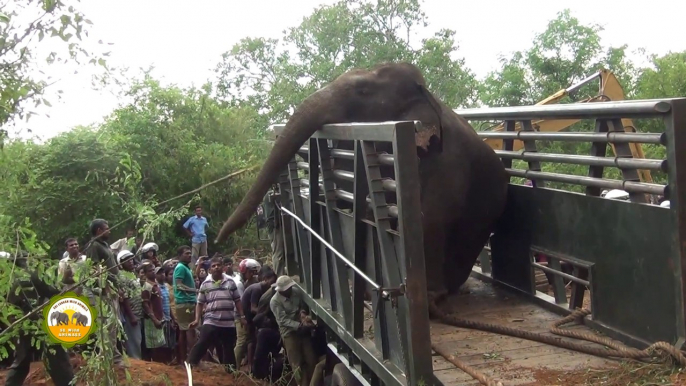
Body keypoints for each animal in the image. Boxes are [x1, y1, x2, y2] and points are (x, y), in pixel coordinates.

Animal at [215, 62, 510, 298]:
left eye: (362, 91)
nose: (218, 239)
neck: (426, 93)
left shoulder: (448, 161)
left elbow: (432, 216)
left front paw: (428, 297)